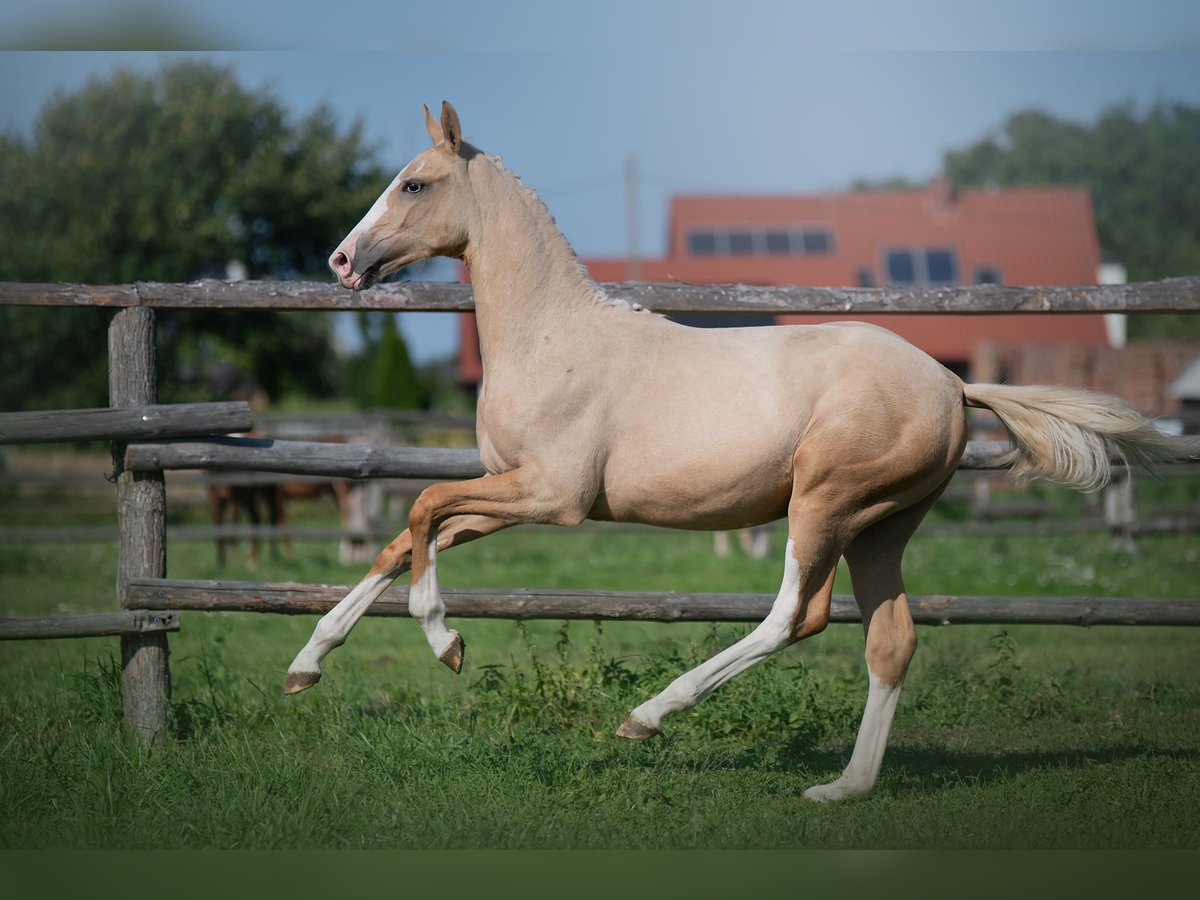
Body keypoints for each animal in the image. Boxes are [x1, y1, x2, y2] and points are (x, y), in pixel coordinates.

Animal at [285, 103, 1176, 801]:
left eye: (414, 183)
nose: (341, 260)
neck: (549, 337)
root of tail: (953, 385)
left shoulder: (552, 496)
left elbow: (421, 510)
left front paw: (448, 645)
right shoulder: (511, 491)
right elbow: (408, 538)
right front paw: (306, 664)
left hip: (824, 503)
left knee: (791, 616)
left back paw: (648, 716)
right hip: (881, 526)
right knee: (887, 639)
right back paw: (843, 789)